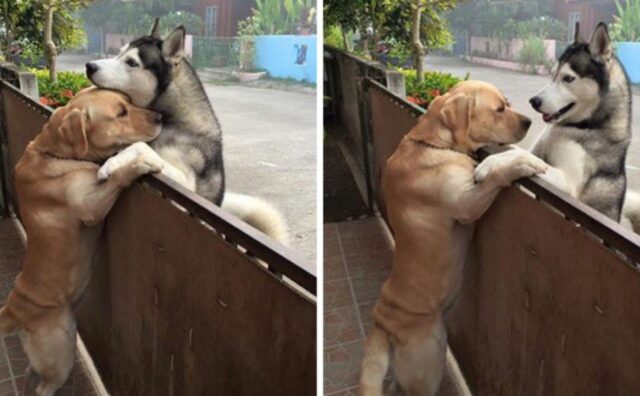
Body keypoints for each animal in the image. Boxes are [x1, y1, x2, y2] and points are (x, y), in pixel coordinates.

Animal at [0, 88, 164, 394]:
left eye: (129, 101)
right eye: (121, 112)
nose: (161, 117)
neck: (58, 154)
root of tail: (16, 308)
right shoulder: (91, 207)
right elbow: (118, 176)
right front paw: (138, 164)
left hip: (44, 357)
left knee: (30, 374)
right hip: (62, 351)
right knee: (43, 387)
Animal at [84, 20, 288, 243]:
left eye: (131, 62)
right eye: (119, 52)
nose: (89, 66)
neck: (175, 121)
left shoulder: (186, 185)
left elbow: (140, 145)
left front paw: (110, 164)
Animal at [358, 81, 548, 396]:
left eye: (507, 103)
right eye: (499, 109)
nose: (529, 122)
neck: (434, 143)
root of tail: (382, 324)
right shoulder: (467, 205)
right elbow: (496, 174)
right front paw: (520, 165)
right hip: (430, 361)